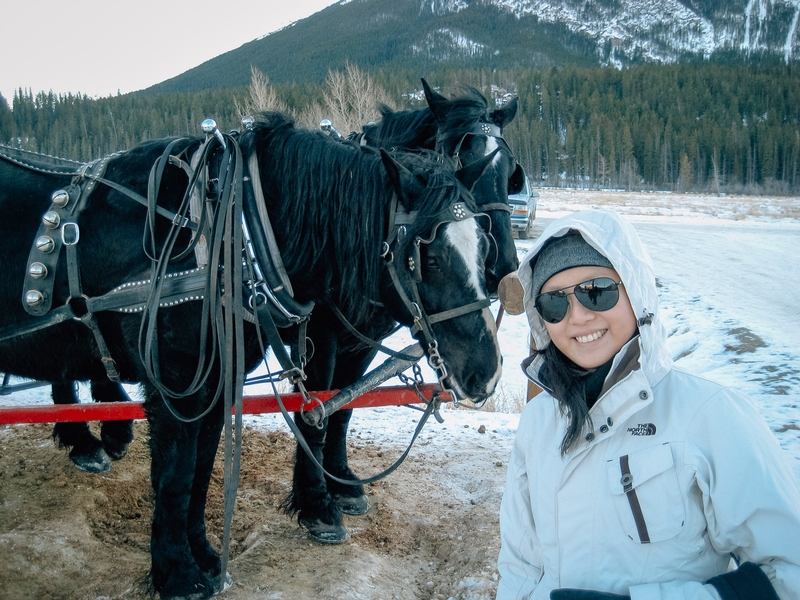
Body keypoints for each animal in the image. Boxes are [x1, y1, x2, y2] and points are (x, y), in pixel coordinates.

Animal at [0, 111, 500, 596]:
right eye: (427, 258)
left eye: (482, 243)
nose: (487, 372)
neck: (233, 234)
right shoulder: (180, 389)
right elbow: (177, 475)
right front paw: (178, 575)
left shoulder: (221, 382)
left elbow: (205, 470)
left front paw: (206, 557)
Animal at [284, 81, 520, 544]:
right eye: (462, 155)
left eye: (507, 169)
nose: (503, 267)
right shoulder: (320, 337)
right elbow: (316, 412)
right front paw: (317, 504)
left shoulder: (364, 341)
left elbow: (344, 407)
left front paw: (343, 485)